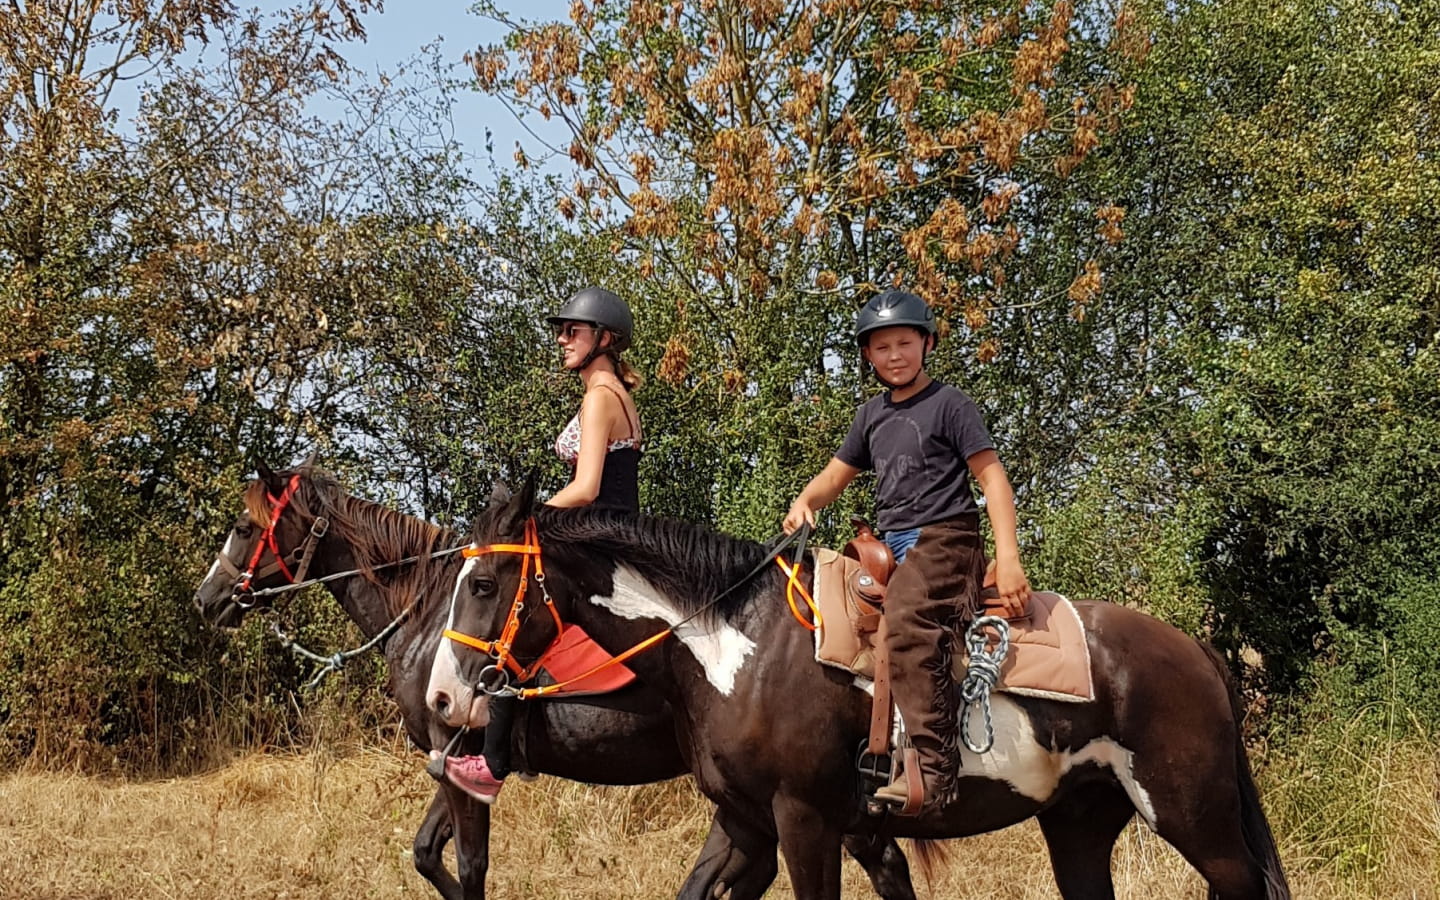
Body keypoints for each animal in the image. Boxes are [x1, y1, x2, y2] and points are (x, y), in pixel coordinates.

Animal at [194, 466, 910, 898]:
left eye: (244, 526)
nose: (207, 600)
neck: (424, 616)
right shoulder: (454, 759)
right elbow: (426, 853)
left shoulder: (459, 750)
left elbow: (466, 863)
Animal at [429, 483, 1296, 898]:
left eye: (483, 583)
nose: (439, 699)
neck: (732, 646)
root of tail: (1197, 652)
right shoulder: (746, 823)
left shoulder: (805, 820)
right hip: (1080, 826)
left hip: (1197, 820)